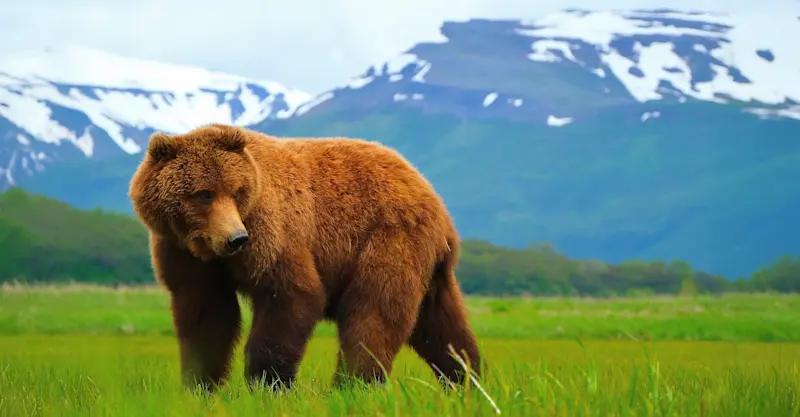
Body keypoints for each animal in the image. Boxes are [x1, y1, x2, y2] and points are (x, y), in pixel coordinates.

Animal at [127, 123, 482, 391]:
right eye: (204, 194)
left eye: (237, 190)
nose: (236, 238)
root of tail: (431, 193)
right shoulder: (183, 254)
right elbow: (206, 317)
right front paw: (201, 384)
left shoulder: (273, 232)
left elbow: (291, 295)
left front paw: (267, 383)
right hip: (429, 265)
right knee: (441, 325)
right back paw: (468, 380)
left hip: (389, 238)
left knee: (373, 312)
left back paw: (351, 386)